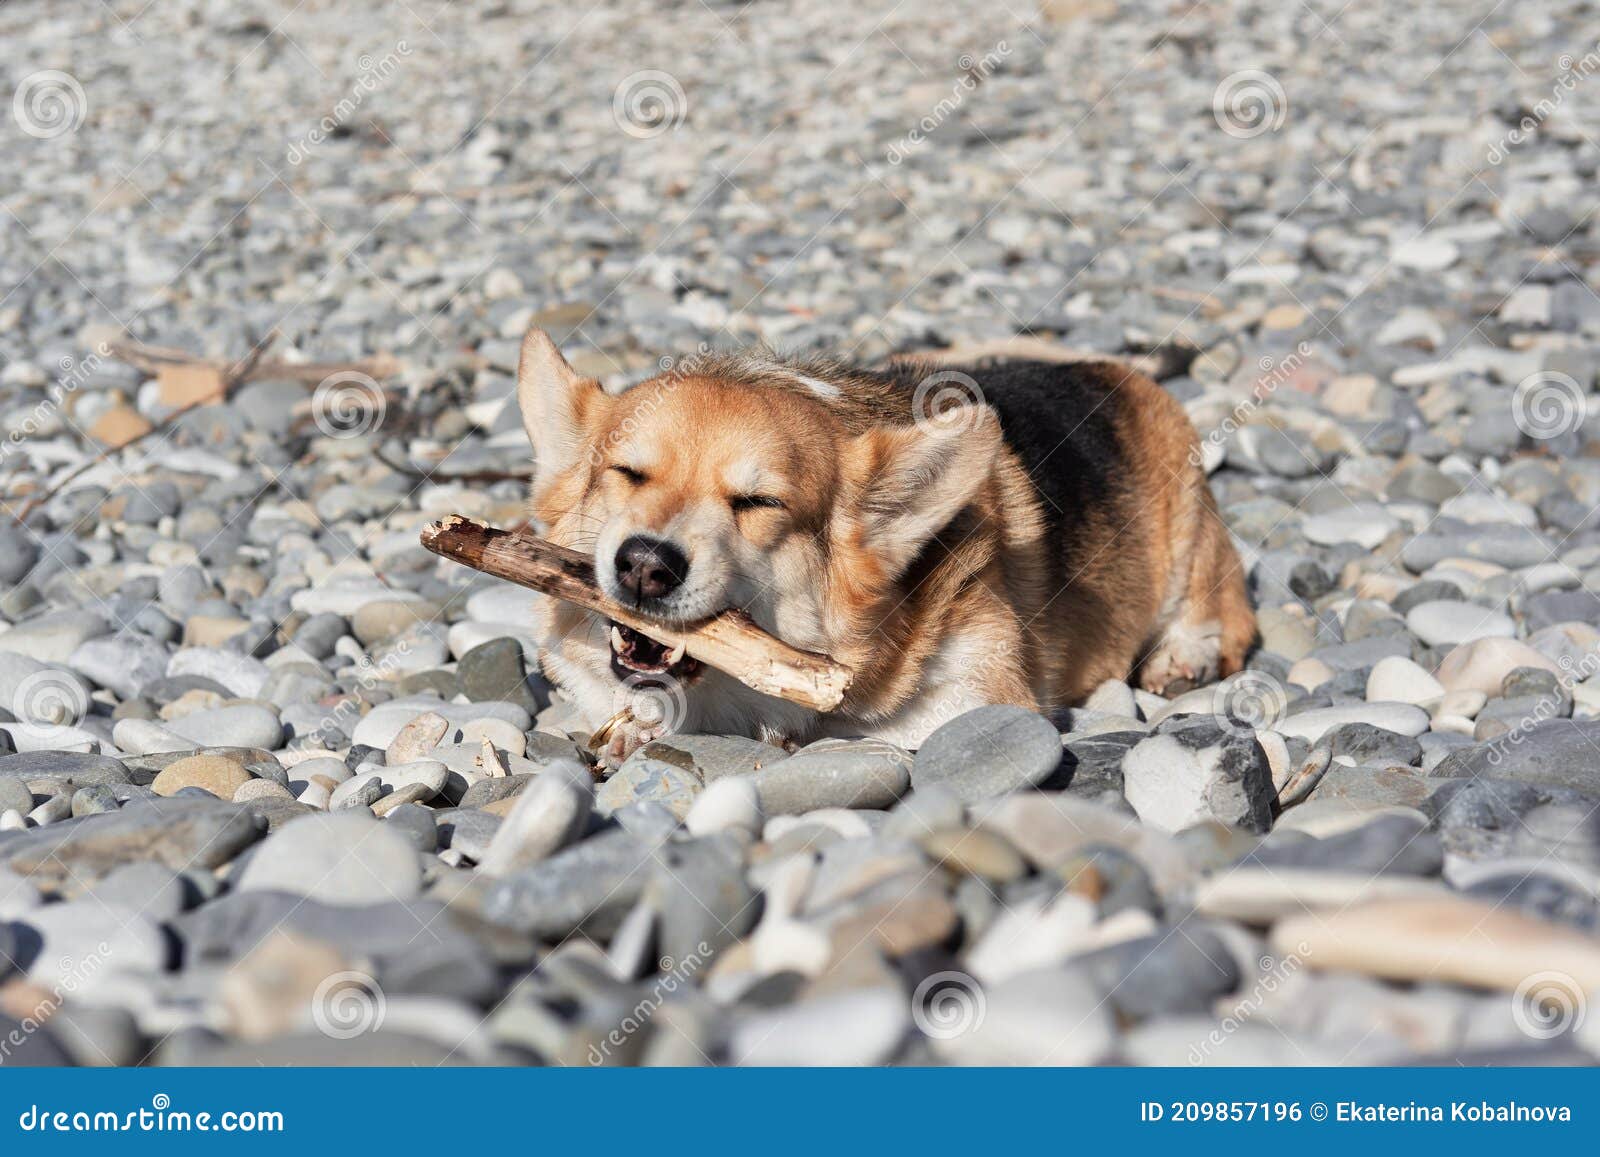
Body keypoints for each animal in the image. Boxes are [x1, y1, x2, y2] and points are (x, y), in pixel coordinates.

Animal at [518, 326, 1254, 764]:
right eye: (627, 473)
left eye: (758, 503)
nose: (645, 565)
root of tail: (1114, 370)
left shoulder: (984, 698)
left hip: (1190, 531)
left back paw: (1184, 657)